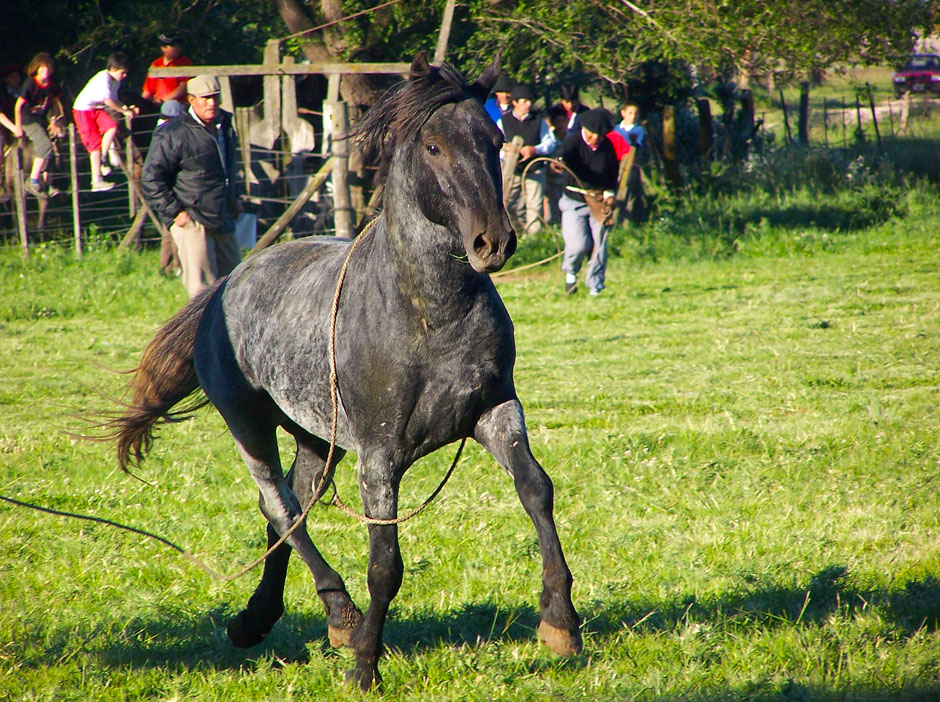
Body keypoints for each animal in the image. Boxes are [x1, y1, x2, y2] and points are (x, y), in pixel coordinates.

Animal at [110, 52, 580, 692]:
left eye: (496, 139)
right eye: (434, 146)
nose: (494, 242)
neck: (426, 314)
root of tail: (226, 285)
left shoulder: (495, 411)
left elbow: (537, 490)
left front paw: (560, 623)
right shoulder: (379, 456)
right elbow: (385, 565)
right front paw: (364, 665)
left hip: (317, 437)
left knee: (291, 506)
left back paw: (261, 619)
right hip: (249, 425)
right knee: (281, 507)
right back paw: (340, 616)